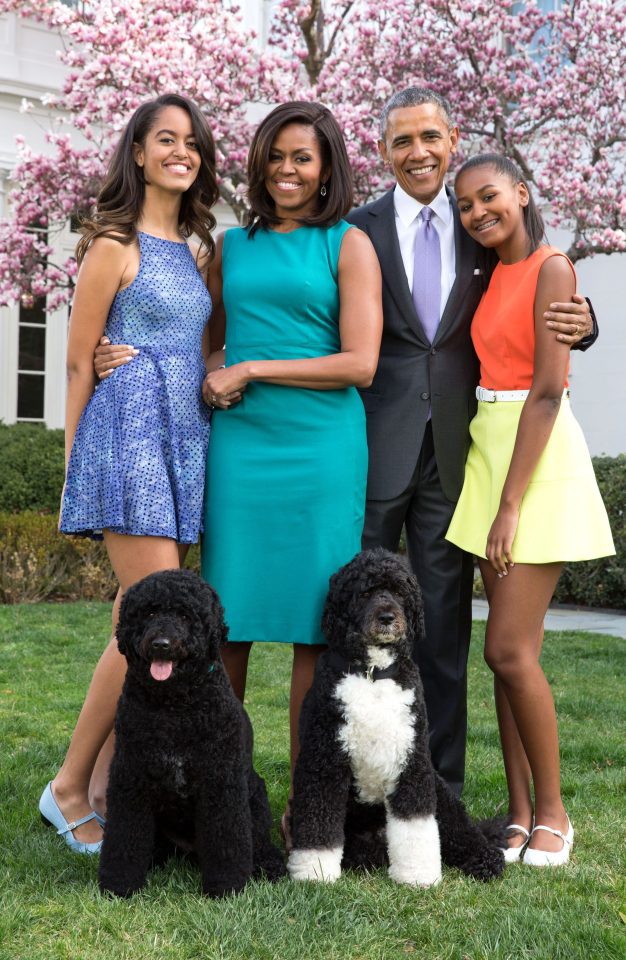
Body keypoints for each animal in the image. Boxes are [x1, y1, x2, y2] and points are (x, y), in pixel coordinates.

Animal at [98, 568, 286, 896]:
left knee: (259, 841)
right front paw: (119, 883)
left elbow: (227, 840)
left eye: (185, 615)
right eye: (149, 612)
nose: (161, 643)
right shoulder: (130, 776)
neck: (174, 708)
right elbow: (124, 836)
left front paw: (226, 885)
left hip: (255, 795)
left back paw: (269, 864)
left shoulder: (220, 781)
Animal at [288, 548, 508, 884]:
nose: (387, 617)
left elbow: (415, 825)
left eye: (400, 592)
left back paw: (485, 858)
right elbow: (318, 824)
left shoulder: (411, 762)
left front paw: (417, 875)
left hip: (440, 792)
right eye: (365, 592)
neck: (373, 674)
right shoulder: (323, 761)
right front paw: (315, 871)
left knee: (463, 832)